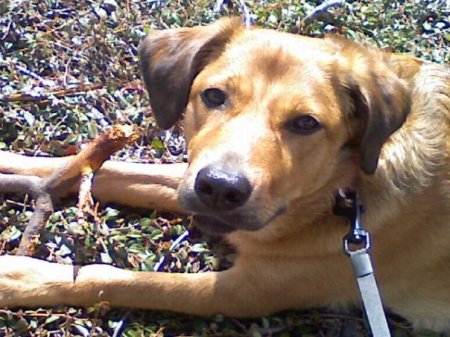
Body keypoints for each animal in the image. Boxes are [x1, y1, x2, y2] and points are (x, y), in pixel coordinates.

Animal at [0, 17, 450, 330]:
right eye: (214, 95)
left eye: (306, 123)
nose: (219, 189)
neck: (342, 192)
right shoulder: (189, 176)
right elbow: (113, 170)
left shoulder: (245, 292)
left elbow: (121, 280)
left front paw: (21, 276)